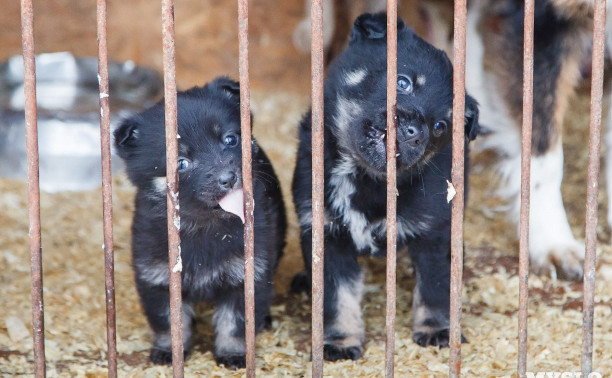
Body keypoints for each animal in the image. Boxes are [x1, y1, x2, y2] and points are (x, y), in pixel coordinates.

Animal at [113, 76, 286, 370]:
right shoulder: (157, 278)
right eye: (181, 163)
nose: (228, 177)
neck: (205, 226)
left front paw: (232, 355)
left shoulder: (247, 274)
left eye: (230, 139)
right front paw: (169, 352)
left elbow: (235, 323)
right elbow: (168, 323)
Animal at [290, 13, 480, 358]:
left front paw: (438, 330)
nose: (415, 132)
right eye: (402, 82)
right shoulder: (325, 231)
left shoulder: (435, 232)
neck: (365, 176)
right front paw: (339, 342)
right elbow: (335, 297)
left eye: (440, 126)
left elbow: (436, 287)